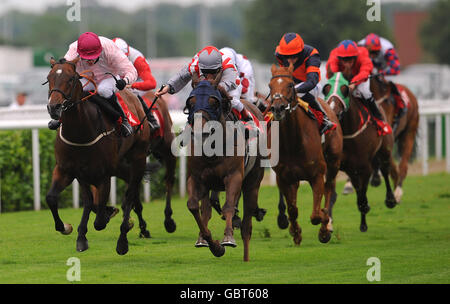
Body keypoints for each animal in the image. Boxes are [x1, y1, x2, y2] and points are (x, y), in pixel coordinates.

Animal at [45, 57, 151, 254]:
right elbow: (54, 198)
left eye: (71, 79)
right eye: (49, 78)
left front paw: (111, 217)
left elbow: (100, 219)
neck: (80, 132)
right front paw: (70, 230)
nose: (53, 107)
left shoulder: (103, 175)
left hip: (138, 158)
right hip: (118, 165)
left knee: (131, 193)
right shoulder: (68, 170)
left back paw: (123, 239)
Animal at [185, 72, 266, 262]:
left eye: (214, 102)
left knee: (247, 224)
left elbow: (228, 206)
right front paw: (212, 244)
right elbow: (194, 206)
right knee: (207, 208)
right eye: (191, 102)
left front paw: (227, 238)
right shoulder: (197, 177)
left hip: (253, 181)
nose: (200, 132)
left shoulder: (234, 175)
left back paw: (245, 256)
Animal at [266, 63, 342, 243]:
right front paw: (296, 232)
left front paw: (324, 227)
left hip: (333, 163)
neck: (293, 143)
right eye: (270, 86)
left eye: (290, 85)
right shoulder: (283, 177)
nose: (278, 108)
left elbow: (316, 214)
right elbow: (292, 209)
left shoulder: (317, 175)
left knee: (329, 188)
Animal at [322, 71, 400, 232]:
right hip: (352, 168)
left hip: (385, 149)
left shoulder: (365, 166)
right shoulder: (337, 165)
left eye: (345, 90)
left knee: (384, 169)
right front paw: (328, 223)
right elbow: (336, 191)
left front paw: (364, 221)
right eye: (325, 89)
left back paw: (390, 199)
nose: (332, 111)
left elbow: (363, 195)